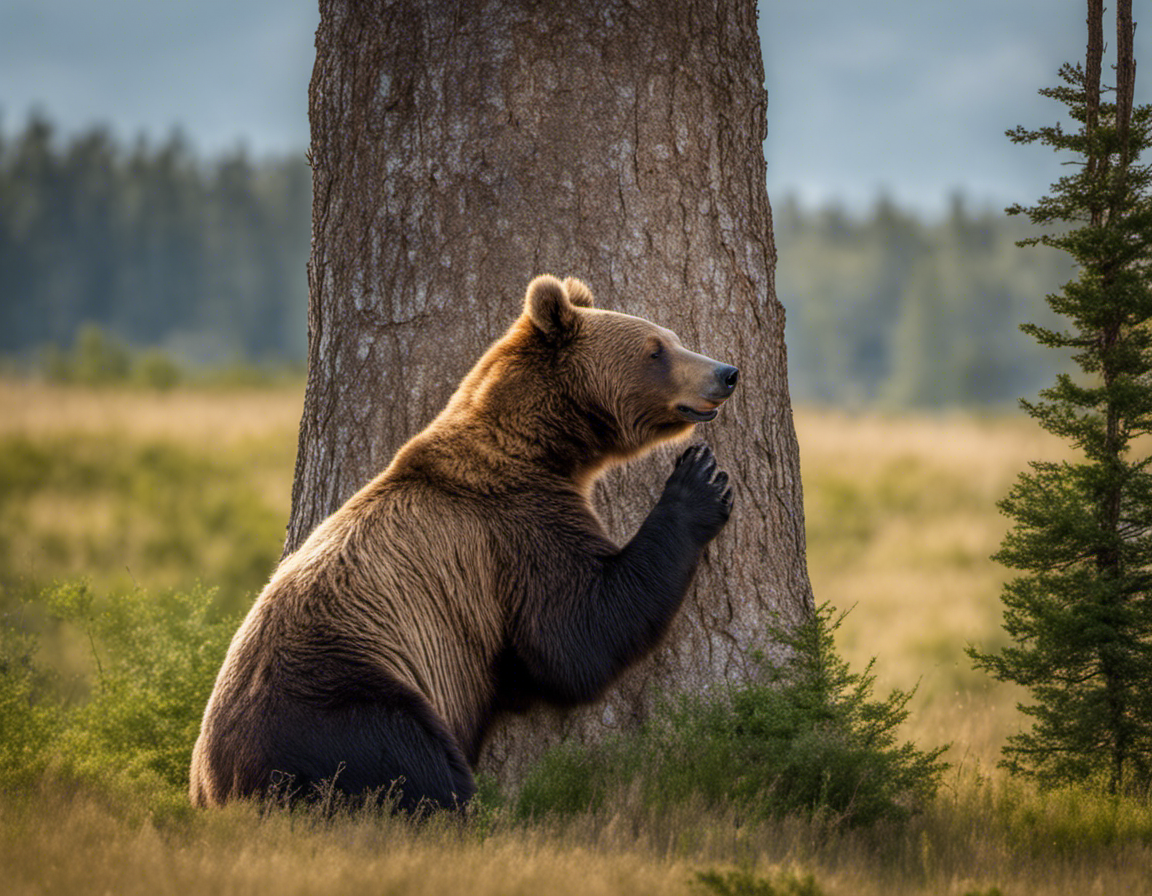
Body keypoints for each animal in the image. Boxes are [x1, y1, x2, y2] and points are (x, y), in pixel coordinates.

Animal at [189, 274, 739, 811]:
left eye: (672, 338)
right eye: (656, 350)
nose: (726, 371)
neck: (540, 448)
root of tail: (214, 783)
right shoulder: (512, 530)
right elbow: (576, 636)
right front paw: (700, 482)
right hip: (343, 700)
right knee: (414, 768)